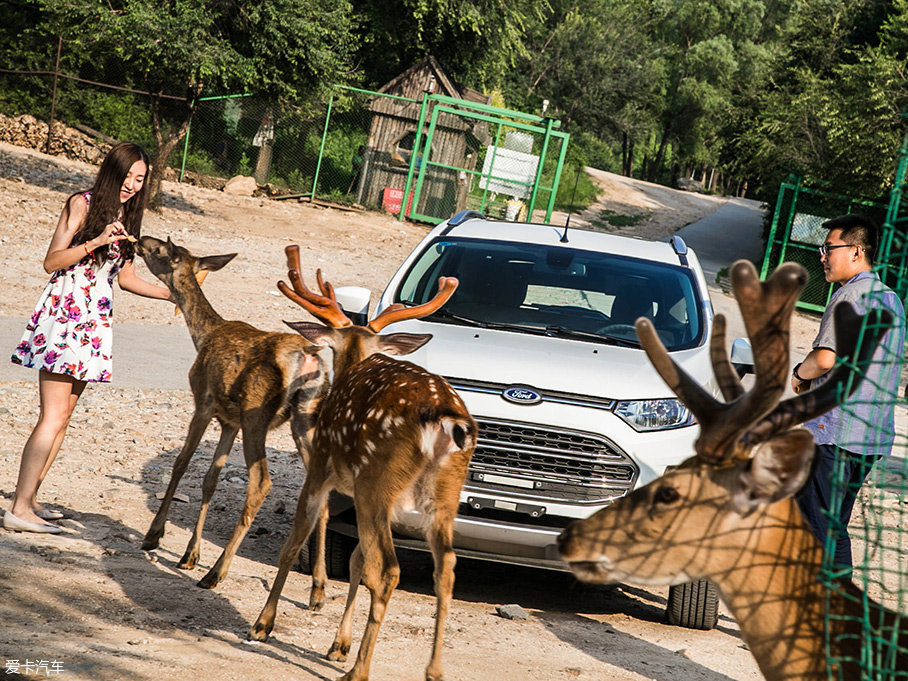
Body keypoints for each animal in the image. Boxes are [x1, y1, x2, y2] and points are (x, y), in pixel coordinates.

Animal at [135, 234, 334, 600]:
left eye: (160, 251)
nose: (141, 239)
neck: (204, 334)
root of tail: (309, 357)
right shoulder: (230, 421)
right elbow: (210, 479)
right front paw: (189, 554)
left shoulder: (203, 402)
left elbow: (181, 464)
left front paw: (154, 535)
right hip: (304, 420)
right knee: (322, 495)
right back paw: (317, 590)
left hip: (258, 415)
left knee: (261, 482)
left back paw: (216, 573)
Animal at [245, 244, 478, 680]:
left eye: (332, 348)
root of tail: (445, 418)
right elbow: (354, 561)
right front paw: (339, 645)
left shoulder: (321, 467)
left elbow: (294, 544)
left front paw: (262, 624)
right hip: (443, 494)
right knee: (446, 568)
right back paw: (433, 670)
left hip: (379, 480)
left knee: (388, 570)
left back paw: (360, 670)